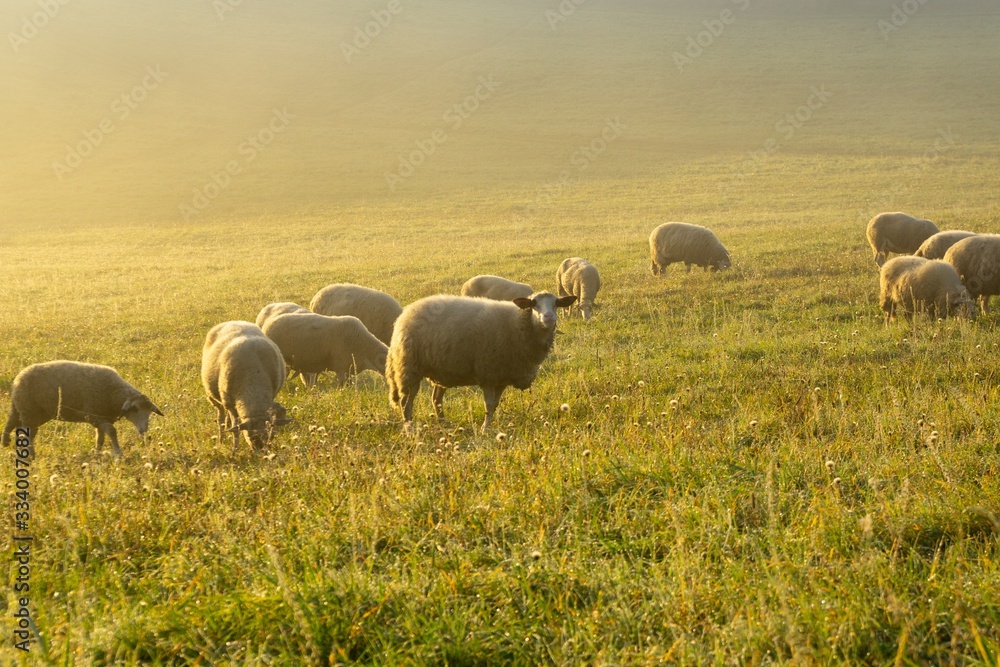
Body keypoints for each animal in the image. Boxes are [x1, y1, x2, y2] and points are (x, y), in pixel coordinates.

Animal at [2, 361, 162, 457]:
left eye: (149, 412)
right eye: (134, 409)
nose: (143, 431)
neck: (114, 393)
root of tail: (18, 378)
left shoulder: (100, 418)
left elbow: (101, 438)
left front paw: (97, 453)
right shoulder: (94, 415)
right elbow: (112, 431)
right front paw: (118, 452)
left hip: (23, 411)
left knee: (11, 425)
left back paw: (6, 444)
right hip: (28, 411)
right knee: (27, 434)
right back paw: (31, 455)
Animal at [201, 321, 290, 452]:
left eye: (267, 434)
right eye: (249, 434)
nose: (259, 449)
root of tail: (233, 321)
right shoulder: (231, 404)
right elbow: (236, 429)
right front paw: (234, 450)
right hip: (214, 397)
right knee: (220, 417)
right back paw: (221, 439)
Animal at [386, 291, 577, 433]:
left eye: (556, 303)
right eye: (533, 303)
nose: (549, 317)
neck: (518, 325)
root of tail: (405, 313)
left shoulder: (502, 378)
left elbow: (495, 405)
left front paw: (489, 426)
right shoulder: (488, 374)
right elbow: (489, 404)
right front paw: (485, 428)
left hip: (440, 370)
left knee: (436, 399)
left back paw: (443, 422)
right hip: (409, 367)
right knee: (406, 401)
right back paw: (409, 428)